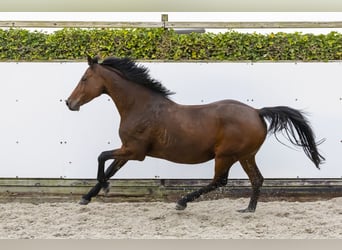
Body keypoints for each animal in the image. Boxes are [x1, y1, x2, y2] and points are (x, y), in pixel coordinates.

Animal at [65, 55, 324, 212]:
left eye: (84, 79)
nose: (69, 103)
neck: (141, 106)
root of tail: (257, 112)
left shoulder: (135, 151)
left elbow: (101, 157)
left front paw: (104, 188)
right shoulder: (127, 149)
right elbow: (110, 166)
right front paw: (87, 196)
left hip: (226, 156)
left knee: (219, 181)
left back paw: (182, 202)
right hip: (245, 156)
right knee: (256, 179)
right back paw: (248, 209)